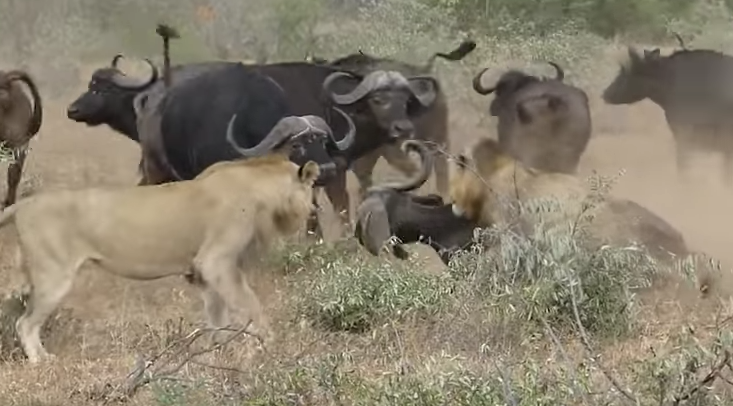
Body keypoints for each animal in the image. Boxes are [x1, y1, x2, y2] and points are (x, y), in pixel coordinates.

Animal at [0, 149, 320, 364]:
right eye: (312, 187)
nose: (314, 211)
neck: (258, 188)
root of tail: (24, 204)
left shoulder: (203, 273)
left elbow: (217, 316)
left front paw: (218, 352)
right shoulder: (216, 261)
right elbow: (250, 305)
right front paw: (270, 346)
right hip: (54, 276)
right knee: (25, 324)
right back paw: (42, 361)